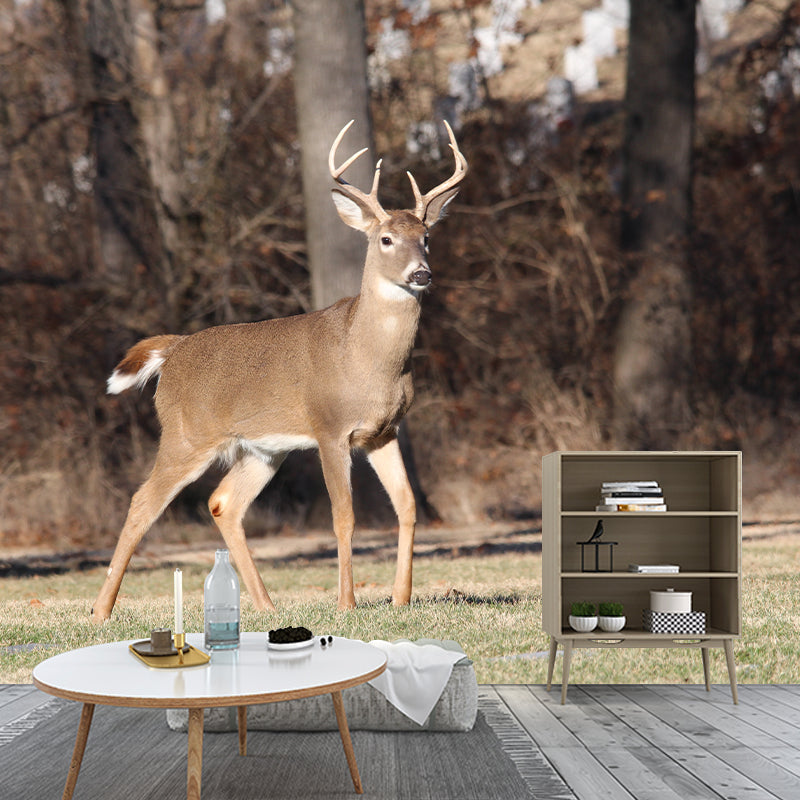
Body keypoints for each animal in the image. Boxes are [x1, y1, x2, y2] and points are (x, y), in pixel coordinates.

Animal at [91, 120, 467, 622]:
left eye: (427, 237)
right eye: (385, 239)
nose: (421, 273)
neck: (369, 361)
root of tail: (173, 351)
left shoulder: (384, 431)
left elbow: (406, 506)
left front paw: (401, 598)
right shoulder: (330, 428)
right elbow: (344, 516)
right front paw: (347, 604)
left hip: (263, 449)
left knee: (223, 502)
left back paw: (266, 606)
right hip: (186, 435)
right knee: (142, 502)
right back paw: (101, 611)